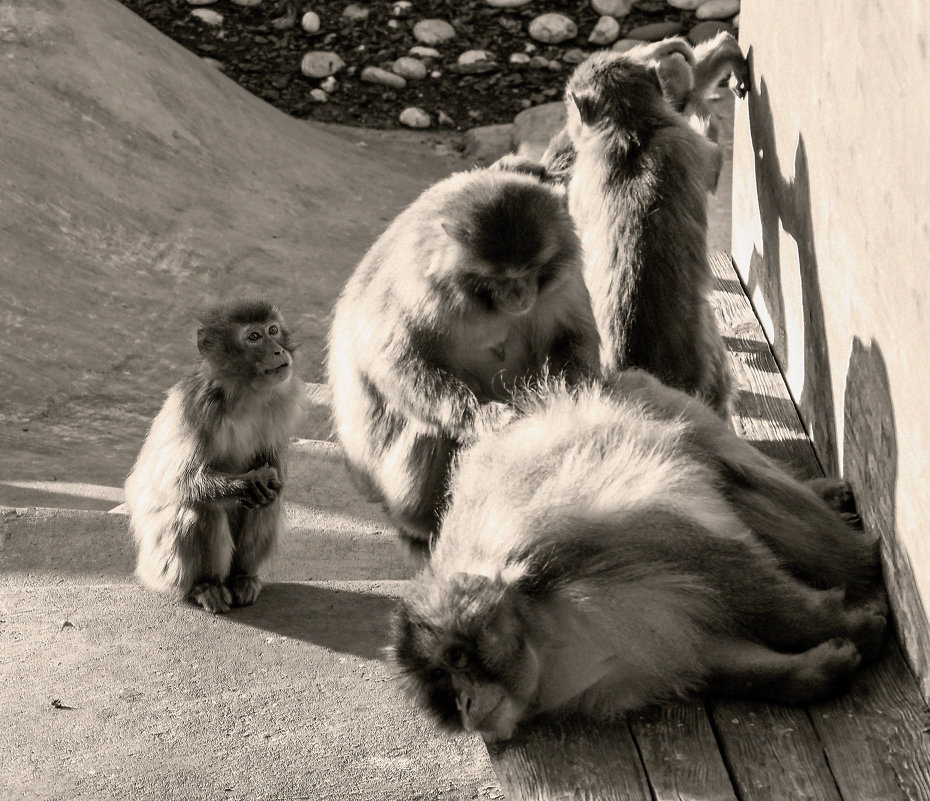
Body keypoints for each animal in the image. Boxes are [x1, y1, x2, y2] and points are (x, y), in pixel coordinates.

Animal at [123, 296, 300, 612]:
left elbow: (275, 475)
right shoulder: (198, 408)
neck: (244, 396)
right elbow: (175, 482)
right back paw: (205, 586)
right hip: (159, 567)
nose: (278, 350)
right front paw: (248, 483)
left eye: (273, 330)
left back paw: (243, 578)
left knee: (267, 504)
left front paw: (265, 482)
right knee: (199, 508)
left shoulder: (279, 409)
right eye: (254, 337)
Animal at [326, 166, 600, 552]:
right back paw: (420, 524)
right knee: (425, 427)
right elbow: (391, 359)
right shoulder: (420, 286)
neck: (483, 303)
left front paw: (572, 393)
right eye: (500, 277)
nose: (519, 295)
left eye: (531, 270)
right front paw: (483, 416)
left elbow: (571, 334)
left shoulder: (565, 279)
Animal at [392, 372, 884, 740]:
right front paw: (816, 671)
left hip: (662, 405)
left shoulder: (569, 542)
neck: (543, 637)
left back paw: (850, 548)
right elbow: (709, 650)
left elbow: (718, 566)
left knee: (728, 473)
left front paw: (841, 624)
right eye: (445, 686)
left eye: (457, 660)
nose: (466, 702)